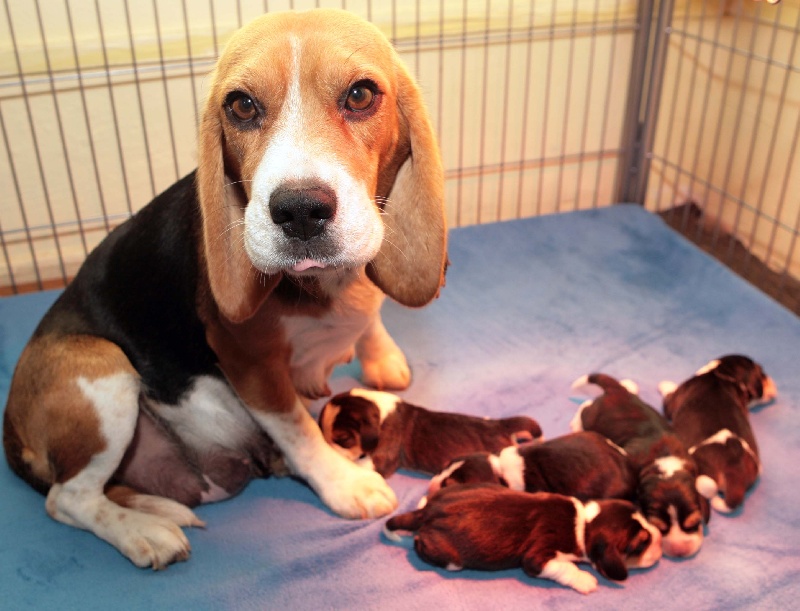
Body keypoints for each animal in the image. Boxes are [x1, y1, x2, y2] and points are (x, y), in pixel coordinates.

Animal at [382, 482, 664, 592]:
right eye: (640, 544)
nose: (660, 539)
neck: (583, 523)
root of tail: (428, 512)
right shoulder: (537, 557)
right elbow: (564, 567)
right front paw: (585, 580)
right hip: (450, 559)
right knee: (420, 545)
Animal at [572, 372, 708, 560]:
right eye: (659, 527)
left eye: (694, 522)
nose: (680, 552)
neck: (664, 465)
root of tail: (616, 390)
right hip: (592, 416)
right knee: (584, 408)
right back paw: (575, 425)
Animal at [660, 356, 780, 512]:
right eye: (762, 372)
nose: (773, 385)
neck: (722, 374)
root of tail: (734, 465)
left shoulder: (671, 401)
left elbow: (668, 395)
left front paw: (665, 384)